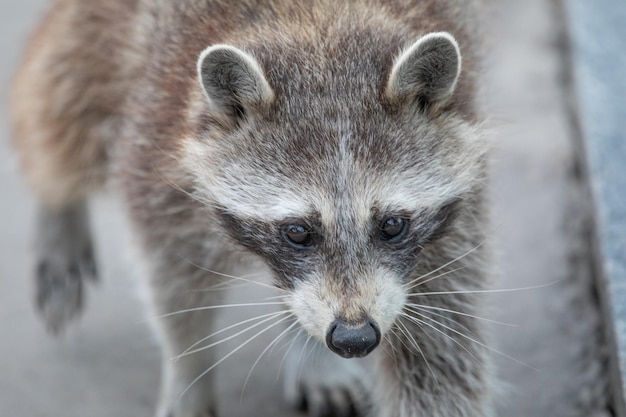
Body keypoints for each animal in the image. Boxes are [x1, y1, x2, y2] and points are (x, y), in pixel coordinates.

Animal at [8, 0, 492, 416]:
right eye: (297, 231)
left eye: (392, 225)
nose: (354, 337)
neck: (320, 29)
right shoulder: (160, 139)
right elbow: (170, 274)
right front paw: (186, 368)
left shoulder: (453, 219)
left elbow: (439, 347)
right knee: (65, 94)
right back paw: (56, 207)